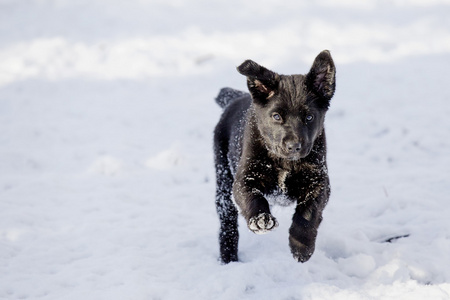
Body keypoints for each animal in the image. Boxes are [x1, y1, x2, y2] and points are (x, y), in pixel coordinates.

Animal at [214, 50, 334, 264]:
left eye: (309, 117)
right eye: (276, 116)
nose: (294, 146)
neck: (285, 162)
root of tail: (237, 97)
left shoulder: (319, 182)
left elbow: (309, 213)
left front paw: (301, 247)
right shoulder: (244, 179)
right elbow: (253, 198)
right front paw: (261, 220)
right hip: (223, 180)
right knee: (227, 223)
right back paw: (228, 259)